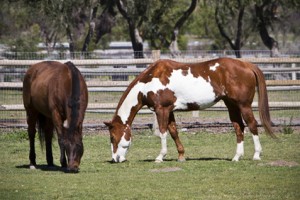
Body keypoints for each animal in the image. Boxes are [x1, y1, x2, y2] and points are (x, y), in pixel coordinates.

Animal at [104, 57, 276, 162]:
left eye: (112, 137)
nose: (115, 159)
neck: (149, 81)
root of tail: (247, 65)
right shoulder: (169, 110)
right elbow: (173, 131)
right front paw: (181, 155)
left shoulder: (162, 110)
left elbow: (163, 132)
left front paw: (160, 156)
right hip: (231, 105)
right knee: (238, 127)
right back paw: (237, 157)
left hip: (244, 105)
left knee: (252, 124)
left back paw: (256, 155)